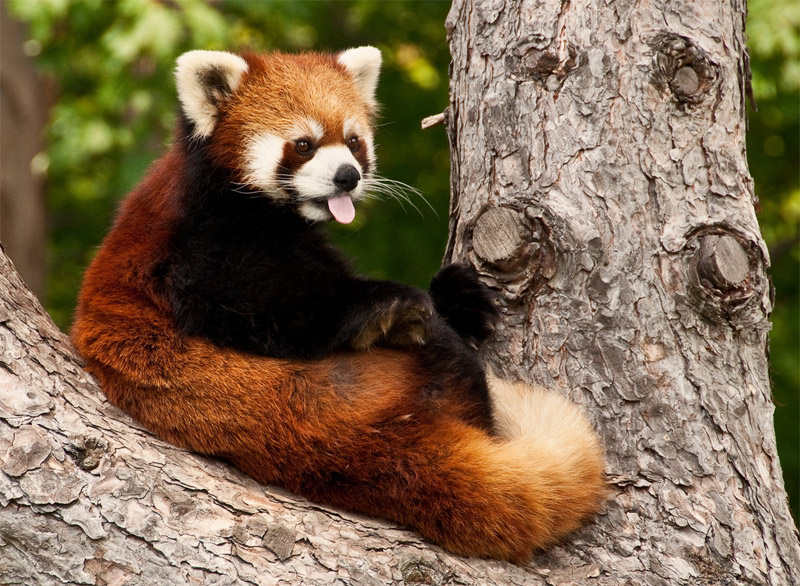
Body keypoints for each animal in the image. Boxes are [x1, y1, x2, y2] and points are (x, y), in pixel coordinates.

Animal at [73, 48, 608, 560]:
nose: (347, 177)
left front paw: (460, 296)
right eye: (303, 144)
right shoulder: (197, 241)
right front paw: (384, 304)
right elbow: (256, 298)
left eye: (353, 141)